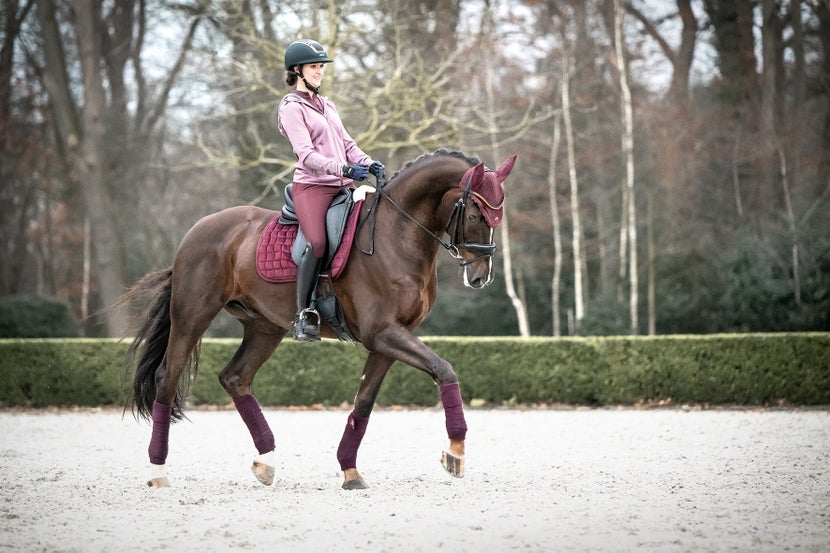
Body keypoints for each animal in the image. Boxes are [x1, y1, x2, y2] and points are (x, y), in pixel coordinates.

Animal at [120, 148, 516, 488]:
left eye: (496, 218)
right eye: (475, 215)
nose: (480, 276)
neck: (397, 235)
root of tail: (197, 229)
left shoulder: (390, 338)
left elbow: (364, 402)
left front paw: (350, 471)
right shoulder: (383, 333)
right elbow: (444, 369)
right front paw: (456, 452)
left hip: (264, 327)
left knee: (235, 377)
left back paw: (266, 461)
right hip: (192, 316)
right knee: (167, 378)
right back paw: (158, 471)